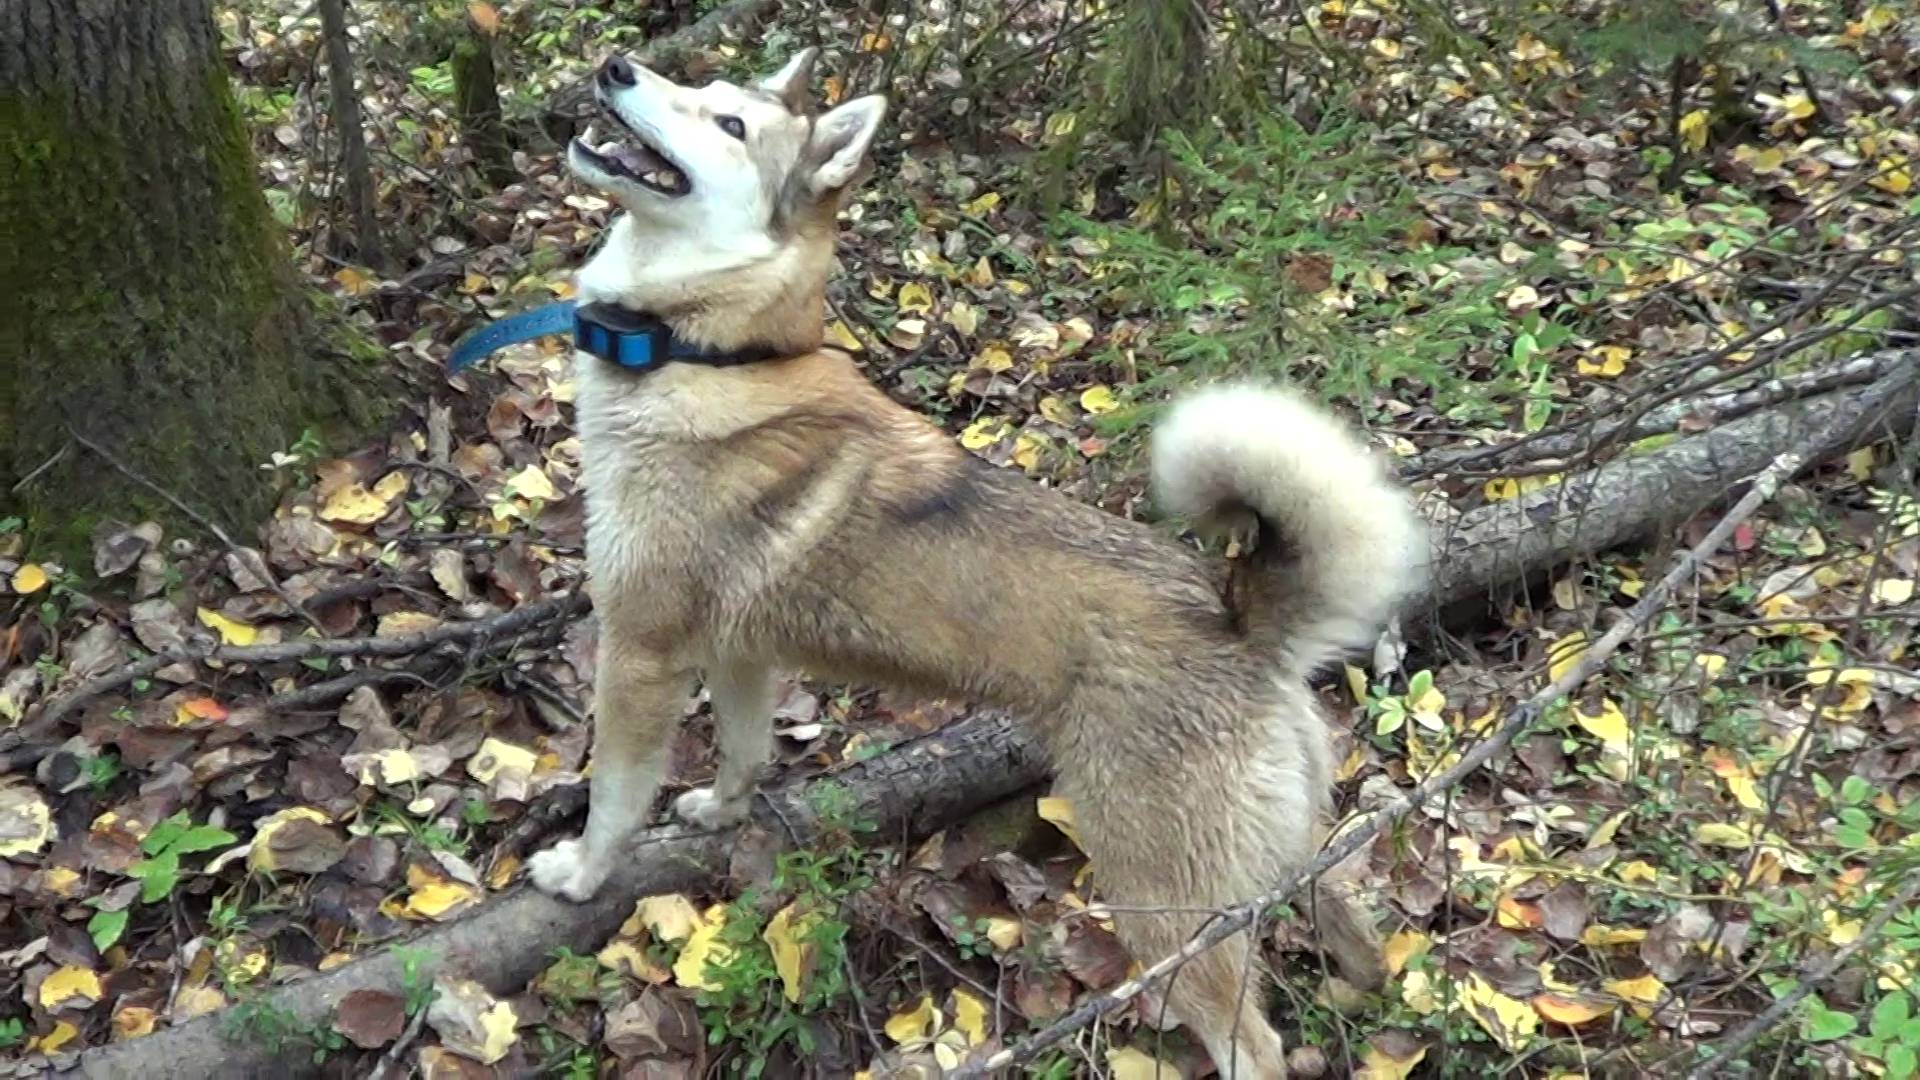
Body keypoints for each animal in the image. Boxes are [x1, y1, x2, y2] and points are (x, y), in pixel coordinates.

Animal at [526, 46, 1428, 1068]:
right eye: (699, 85)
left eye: (728, 126)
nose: (616, 64)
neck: (712, 354)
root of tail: (1244, 623)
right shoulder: (739, 651)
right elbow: (746, 755)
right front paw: (720, 813)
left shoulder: (641, 651)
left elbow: (614, 796)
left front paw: (580, 873)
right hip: (1281, 849)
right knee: (1350, 919)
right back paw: (1367, 997)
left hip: (1162, 902)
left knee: (1254, 1043)